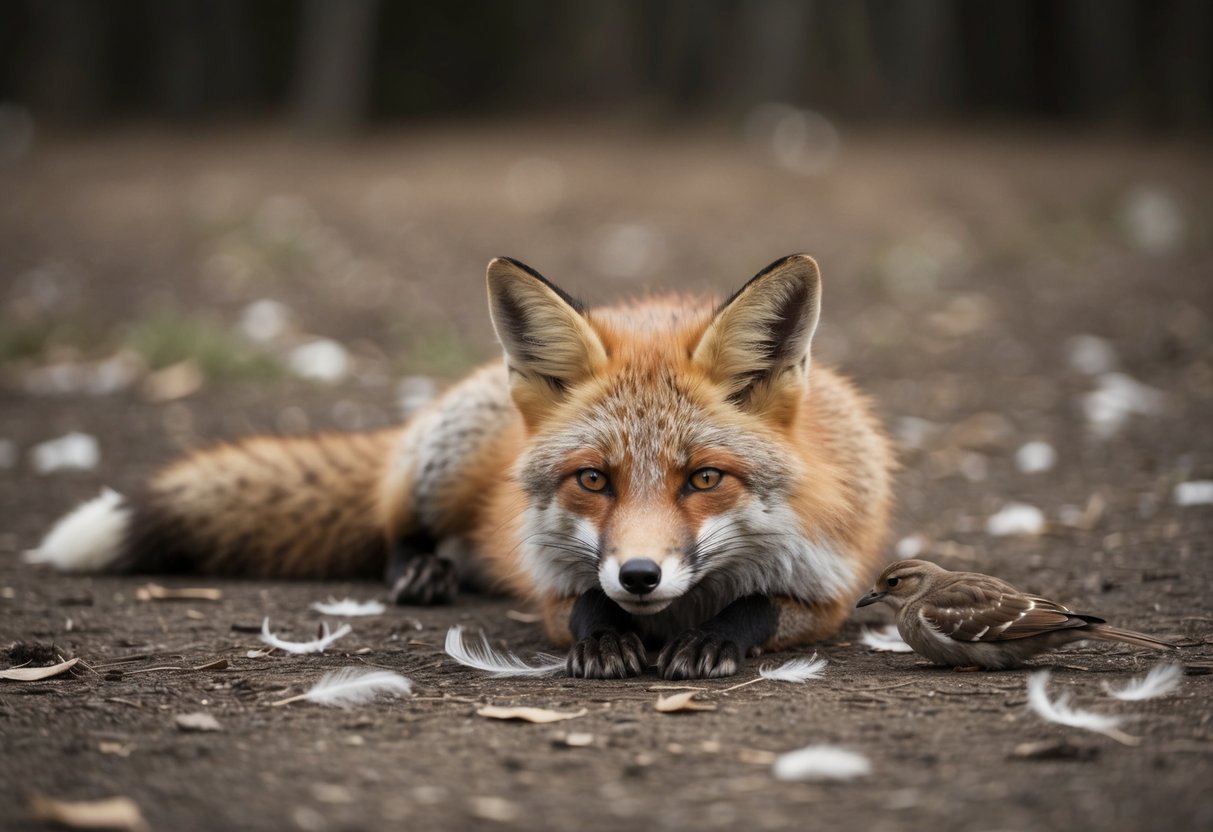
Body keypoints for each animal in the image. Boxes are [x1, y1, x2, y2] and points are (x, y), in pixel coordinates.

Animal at [31, 254, 894, 680]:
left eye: (703, 479)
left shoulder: (833, 587)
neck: (673, 612)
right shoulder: (550, 585)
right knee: (394, 531)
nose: (640, 576)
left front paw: (717, 637)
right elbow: (580, 601)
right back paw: (422, 571)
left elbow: (760, 607)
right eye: (593, 479)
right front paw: (604, 637)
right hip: (439, 467)